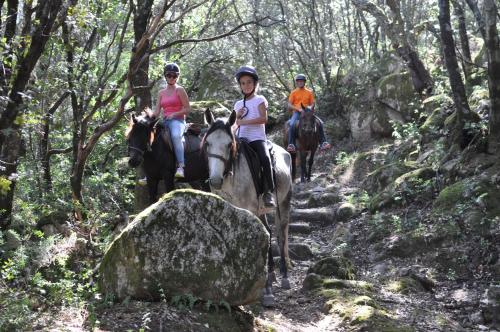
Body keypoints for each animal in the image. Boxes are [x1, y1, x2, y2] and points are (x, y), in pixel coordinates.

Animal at [201, 109, 292, 306]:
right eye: (208, 143)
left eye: (229, 144)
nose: (215, 181)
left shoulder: (251, 210)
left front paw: (267, 291)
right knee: (270, 232)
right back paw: (271, 274)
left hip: (283, 203)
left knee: (280, 235)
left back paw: (284, 276)